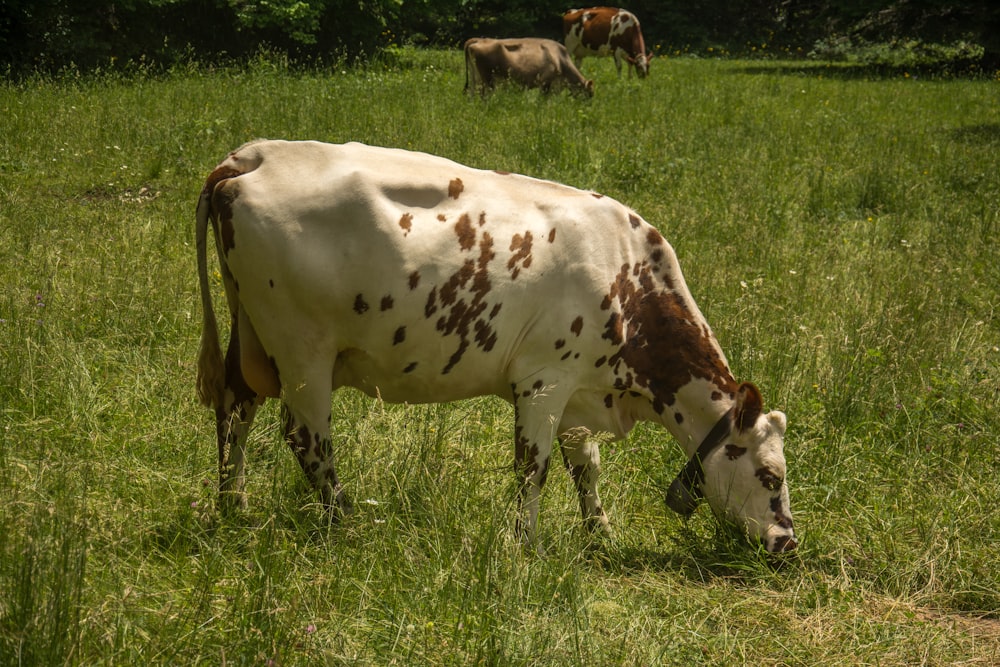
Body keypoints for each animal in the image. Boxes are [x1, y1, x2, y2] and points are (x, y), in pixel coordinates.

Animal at [199, 140, 800, 552]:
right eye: (771, 475)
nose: (787, 541)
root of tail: (253, 156)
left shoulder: (579, 390)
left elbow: (585, 465)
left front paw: (599, 533)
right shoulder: (544, 380)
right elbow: (534, 467)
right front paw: (525, 544)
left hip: (252, 338)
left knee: (235, 408)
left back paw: (234, 504)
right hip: (302, 349)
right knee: (307, 438)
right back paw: (345, 520)